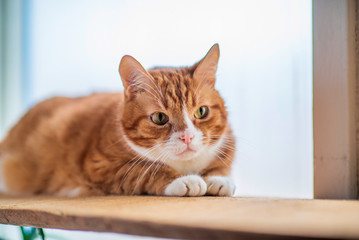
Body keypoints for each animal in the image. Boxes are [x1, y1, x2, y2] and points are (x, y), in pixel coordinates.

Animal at [0, 43, 236, 197]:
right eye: (159, 118)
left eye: (201, 112)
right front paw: (182, 180)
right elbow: (146, 171)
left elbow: (221, 165)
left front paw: (219, 178)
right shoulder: (101, 166)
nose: (187, 137)